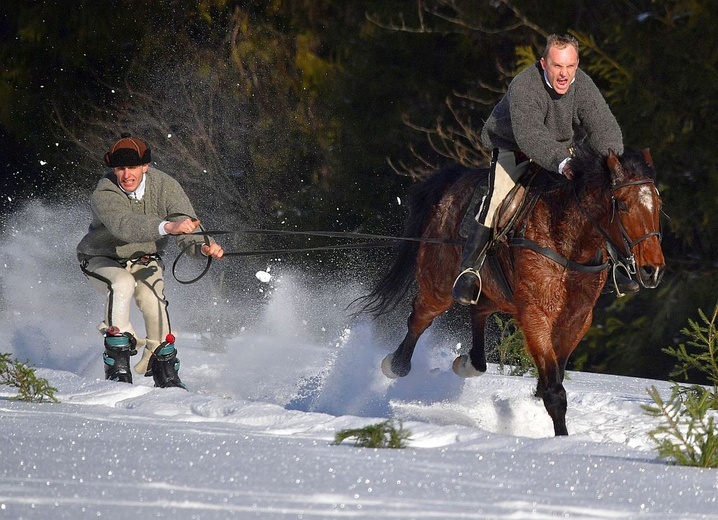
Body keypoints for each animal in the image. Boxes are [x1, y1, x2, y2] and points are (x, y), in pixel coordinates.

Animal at [362, 144, 668, 436]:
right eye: (624, 205)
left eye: (658, 204)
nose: (652, 270)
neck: (568, 242)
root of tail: (454, 181)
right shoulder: (535, 315)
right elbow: (554, 392)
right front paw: (562, 440)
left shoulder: (577, 320)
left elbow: (554, 375)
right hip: (438, 284)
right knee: (420, 318)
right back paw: (395, 365)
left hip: (495, 292)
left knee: (478, 310)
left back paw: (469, 363)